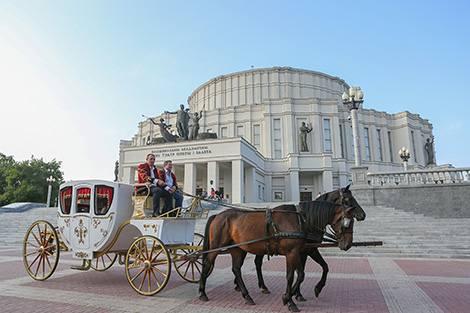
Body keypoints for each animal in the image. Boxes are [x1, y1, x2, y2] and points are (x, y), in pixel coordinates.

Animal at [196, 200, 354, 310]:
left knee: (236, 269)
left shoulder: (298, 252)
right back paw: (202, 293)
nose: (347, 245)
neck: (299, 221)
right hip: (216, 247)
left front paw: (289, 296)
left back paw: (247, 296)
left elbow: (300, 274)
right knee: (207, 264)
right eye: (347, 222)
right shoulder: (292, 253)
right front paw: (290, 301)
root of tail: (217, 215)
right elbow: (292, 276)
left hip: (237, 249)